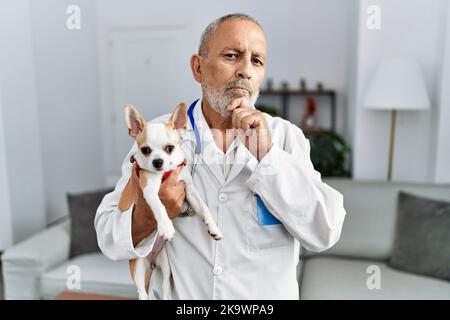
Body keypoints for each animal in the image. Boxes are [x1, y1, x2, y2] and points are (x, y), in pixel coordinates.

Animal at [116, 103, 221, 300]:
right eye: (145, 150)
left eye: (170, 148)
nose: (158, 162)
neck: (165, 173)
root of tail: (150, 262)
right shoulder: (149, 191)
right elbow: (159, 207)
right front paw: (166, 226)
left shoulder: (189, 190)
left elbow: (203, 207)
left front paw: (213, 227)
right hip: (138, 266)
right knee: (142, 293)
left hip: (165, 265)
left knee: (165, 286)